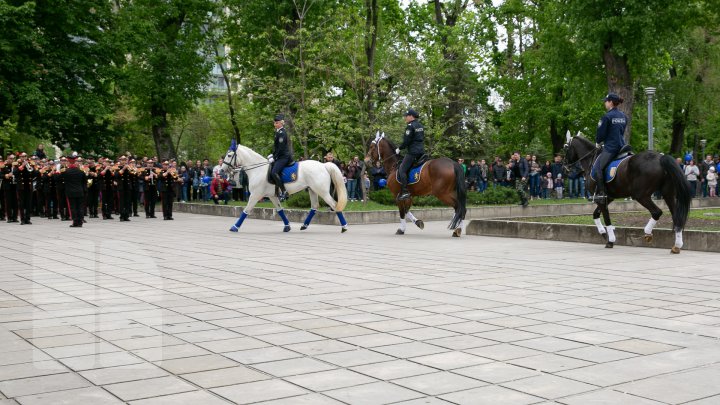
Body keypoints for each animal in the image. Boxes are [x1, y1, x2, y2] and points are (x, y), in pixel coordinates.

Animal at [222, 142, 352, 232]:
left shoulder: (255, 195)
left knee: (334, 205)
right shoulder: (272, 196)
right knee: (314, 206)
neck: (258, 170)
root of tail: (324, 165)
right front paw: (287, 227)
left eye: (229, 155)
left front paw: (234, 227)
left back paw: (344, 227)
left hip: (322, 191)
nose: (222, 170)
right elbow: (280, 210)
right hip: (312, 190)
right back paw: (304, 225)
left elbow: (246, 210)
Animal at [564, 133, 692, 252]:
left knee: (657, 212)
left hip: (641, 195)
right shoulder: (608, 198)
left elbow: (606, 218)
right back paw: (677, 245)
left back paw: (648, 232)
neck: (592, 160)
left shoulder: (602, 199)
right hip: (668, 194)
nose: (565, 166)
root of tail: (660, 158)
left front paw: (610, 240)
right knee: (676, 216)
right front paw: (603, 233)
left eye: (565, 148)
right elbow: (595, 214)